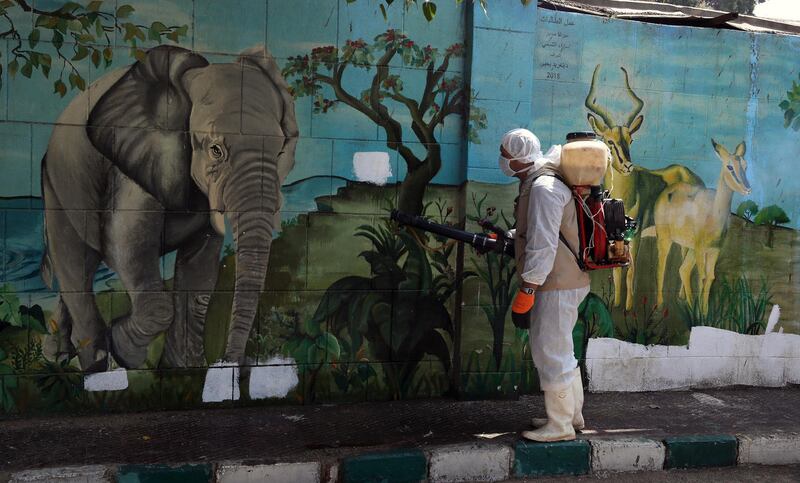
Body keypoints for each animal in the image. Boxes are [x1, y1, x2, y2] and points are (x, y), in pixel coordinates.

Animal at [39, 44, 296, 370]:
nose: (227, 364)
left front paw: (182, 369)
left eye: (279, 151)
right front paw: (124, 351)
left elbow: (199, 272)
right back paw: (94, 366)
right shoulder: (134, 159)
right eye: (215, 150)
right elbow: (126, 243)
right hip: (58, 186)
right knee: (75, 262)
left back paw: (58, 354)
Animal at [584, 65, 704, 310]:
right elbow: (616, 271)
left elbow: (630, 270)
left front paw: (629, 308)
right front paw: (616, 304)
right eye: (609, 141)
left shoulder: (636, 234)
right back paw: (680, 299)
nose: (627, 165)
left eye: (631, 140)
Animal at [648, 140, 752, 314]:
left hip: (687, 246)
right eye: (730, 167)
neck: (715, 213)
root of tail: (667, 191)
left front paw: (705, 313)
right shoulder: (700, 248)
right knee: (660, 267)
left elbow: (710, 277)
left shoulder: (715, 249)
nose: (747, 188)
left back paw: (684, 300)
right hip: (665, 238)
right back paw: (660, 304)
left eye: (745, 165)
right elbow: (702, 277)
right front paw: (699, 314)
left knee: (683, 269)